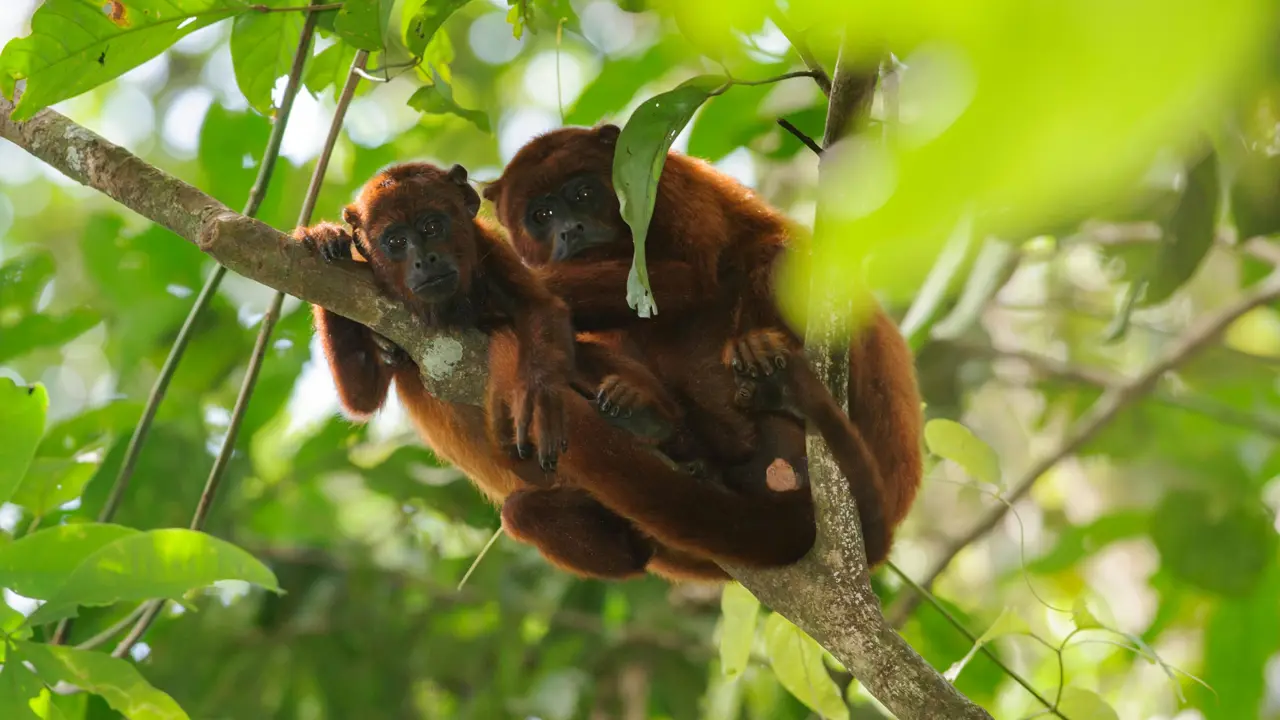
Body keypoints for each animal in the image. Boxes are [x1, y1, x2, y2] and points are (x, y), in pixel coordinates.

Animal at [482, 124, 924, 568]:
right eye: (541, 216)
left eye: (583, 193)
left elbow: (691, 278)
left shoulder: (669, 186)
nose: (569, 229)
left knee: (779, 253)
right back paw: (658, 422)